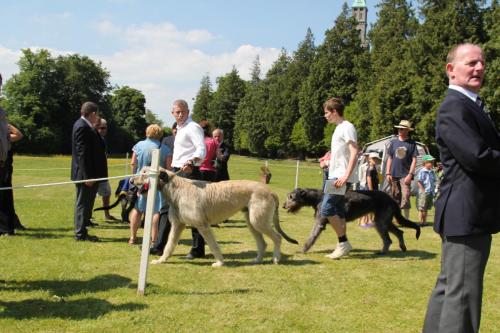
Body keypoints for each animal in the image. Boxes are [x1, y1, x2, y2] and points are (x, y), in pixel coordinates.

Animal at [284, 188, 420, 253]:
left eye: (291, 197)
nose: (284, 206)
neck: (318, 198)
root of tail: (391, 199)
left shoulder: (319, 223)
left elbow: (311, 237)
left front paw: (302, 250)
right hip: (385, 220)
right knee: (399, 232)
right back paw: (402, 247)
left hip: (381, 222)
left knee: (388, 239)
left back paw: (383, 252)